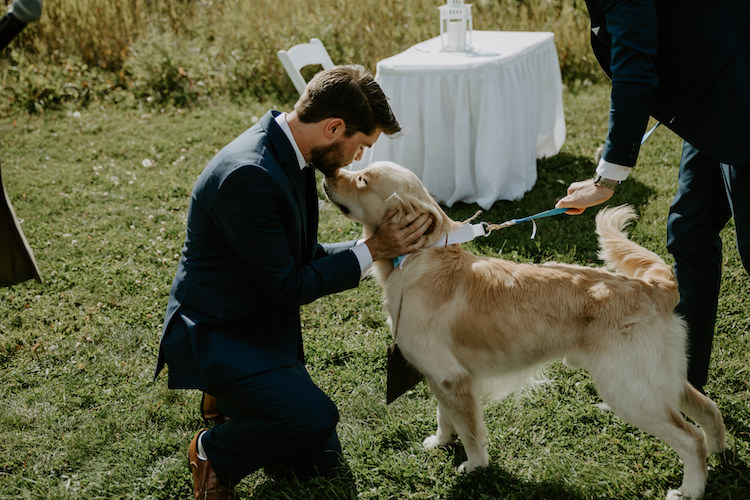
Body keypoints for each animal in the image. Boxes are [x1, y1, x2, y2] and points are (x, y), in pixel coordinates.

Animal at [324, 162, 728, 498]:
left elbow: (470, 431)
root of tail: (653, 287)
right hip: (657, 380)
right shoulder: (442, 375)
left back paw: (690, 490)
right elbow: (445, 415)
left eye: (362, 180)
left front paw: (474, 466)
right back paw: (722, 455)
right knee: (709, 409)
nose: (326, 173)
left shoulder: (453, 379)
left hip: (628, 390)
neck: (420, 259)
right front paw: (440, 442)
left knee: (691, 438)